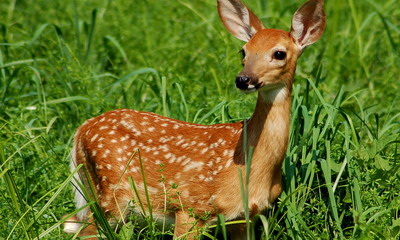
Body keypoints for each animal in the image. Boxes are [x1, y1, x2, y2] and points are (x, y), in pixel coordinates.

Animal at [62, 0, 324, 238]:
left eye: (279, 53)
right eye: (243, 51)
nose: (243, 79)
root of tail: (81, 129)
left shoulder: (245, 217)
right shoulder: (190, 207)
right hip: (111, 193)